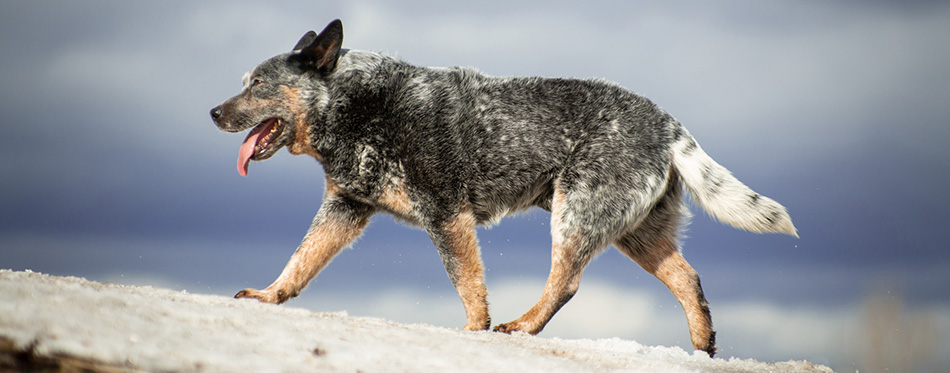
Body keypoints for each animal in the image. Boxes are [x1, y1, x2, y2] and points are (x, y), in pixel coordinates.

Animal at [212, 18, 800, 356]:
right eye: (242, 83)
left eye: (258, 85)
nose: (214, 112)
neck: (356, 105)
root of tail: (670, 125)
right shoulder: (346, 207)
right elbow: (301, 259)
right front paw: (269, 295)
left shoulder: (446, 214)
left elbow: (468, 284)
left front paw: (475, 329)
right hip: (635, 233)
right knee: (687, 278)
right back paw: (702, 348)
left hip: (577, 211)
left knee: (566, 282)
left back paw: (521, 326)